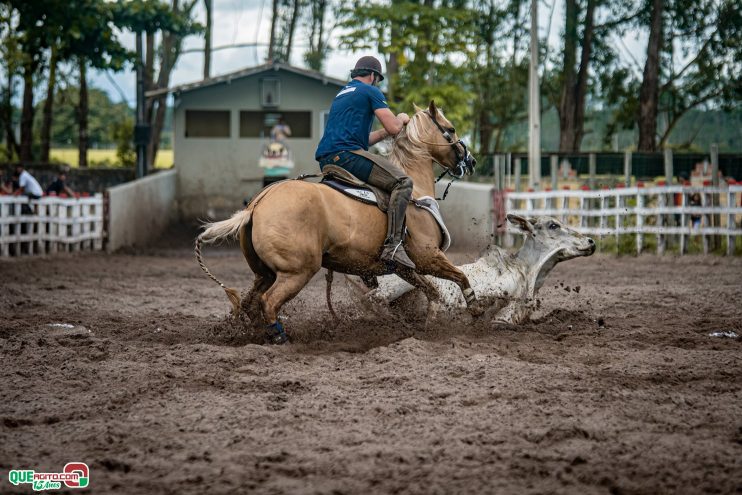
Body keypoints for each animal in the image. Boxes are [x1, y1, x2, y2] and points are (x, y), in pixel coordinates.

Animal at [195, 99, 480, 342]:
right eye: (451, 129)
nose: (471, 161)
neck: (416, 193)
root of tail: (257, 204)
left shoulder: (405, 268)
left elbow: (433, 293)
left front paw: (429, 324)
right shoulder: (427, 257)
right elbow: (461, 277)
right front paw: (476, 311)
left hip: (264, 272)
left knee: (250, 303)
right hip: (297, 271)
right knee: (269, 302)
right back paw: (280, 338)